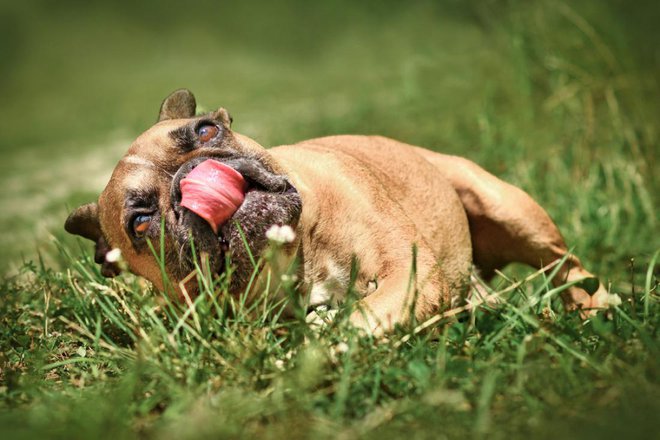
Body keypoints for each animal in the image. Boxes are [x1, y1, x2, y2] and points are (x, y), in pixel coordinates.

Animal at [65, 90, 608, 334]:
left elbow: (360, 318)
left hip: (507, 208)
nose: (190, 176)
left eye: (205, 130)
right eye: (141, 222)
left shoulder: (408, 273)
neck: (296, 254)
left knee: (568, 266)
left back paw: (595, 307)